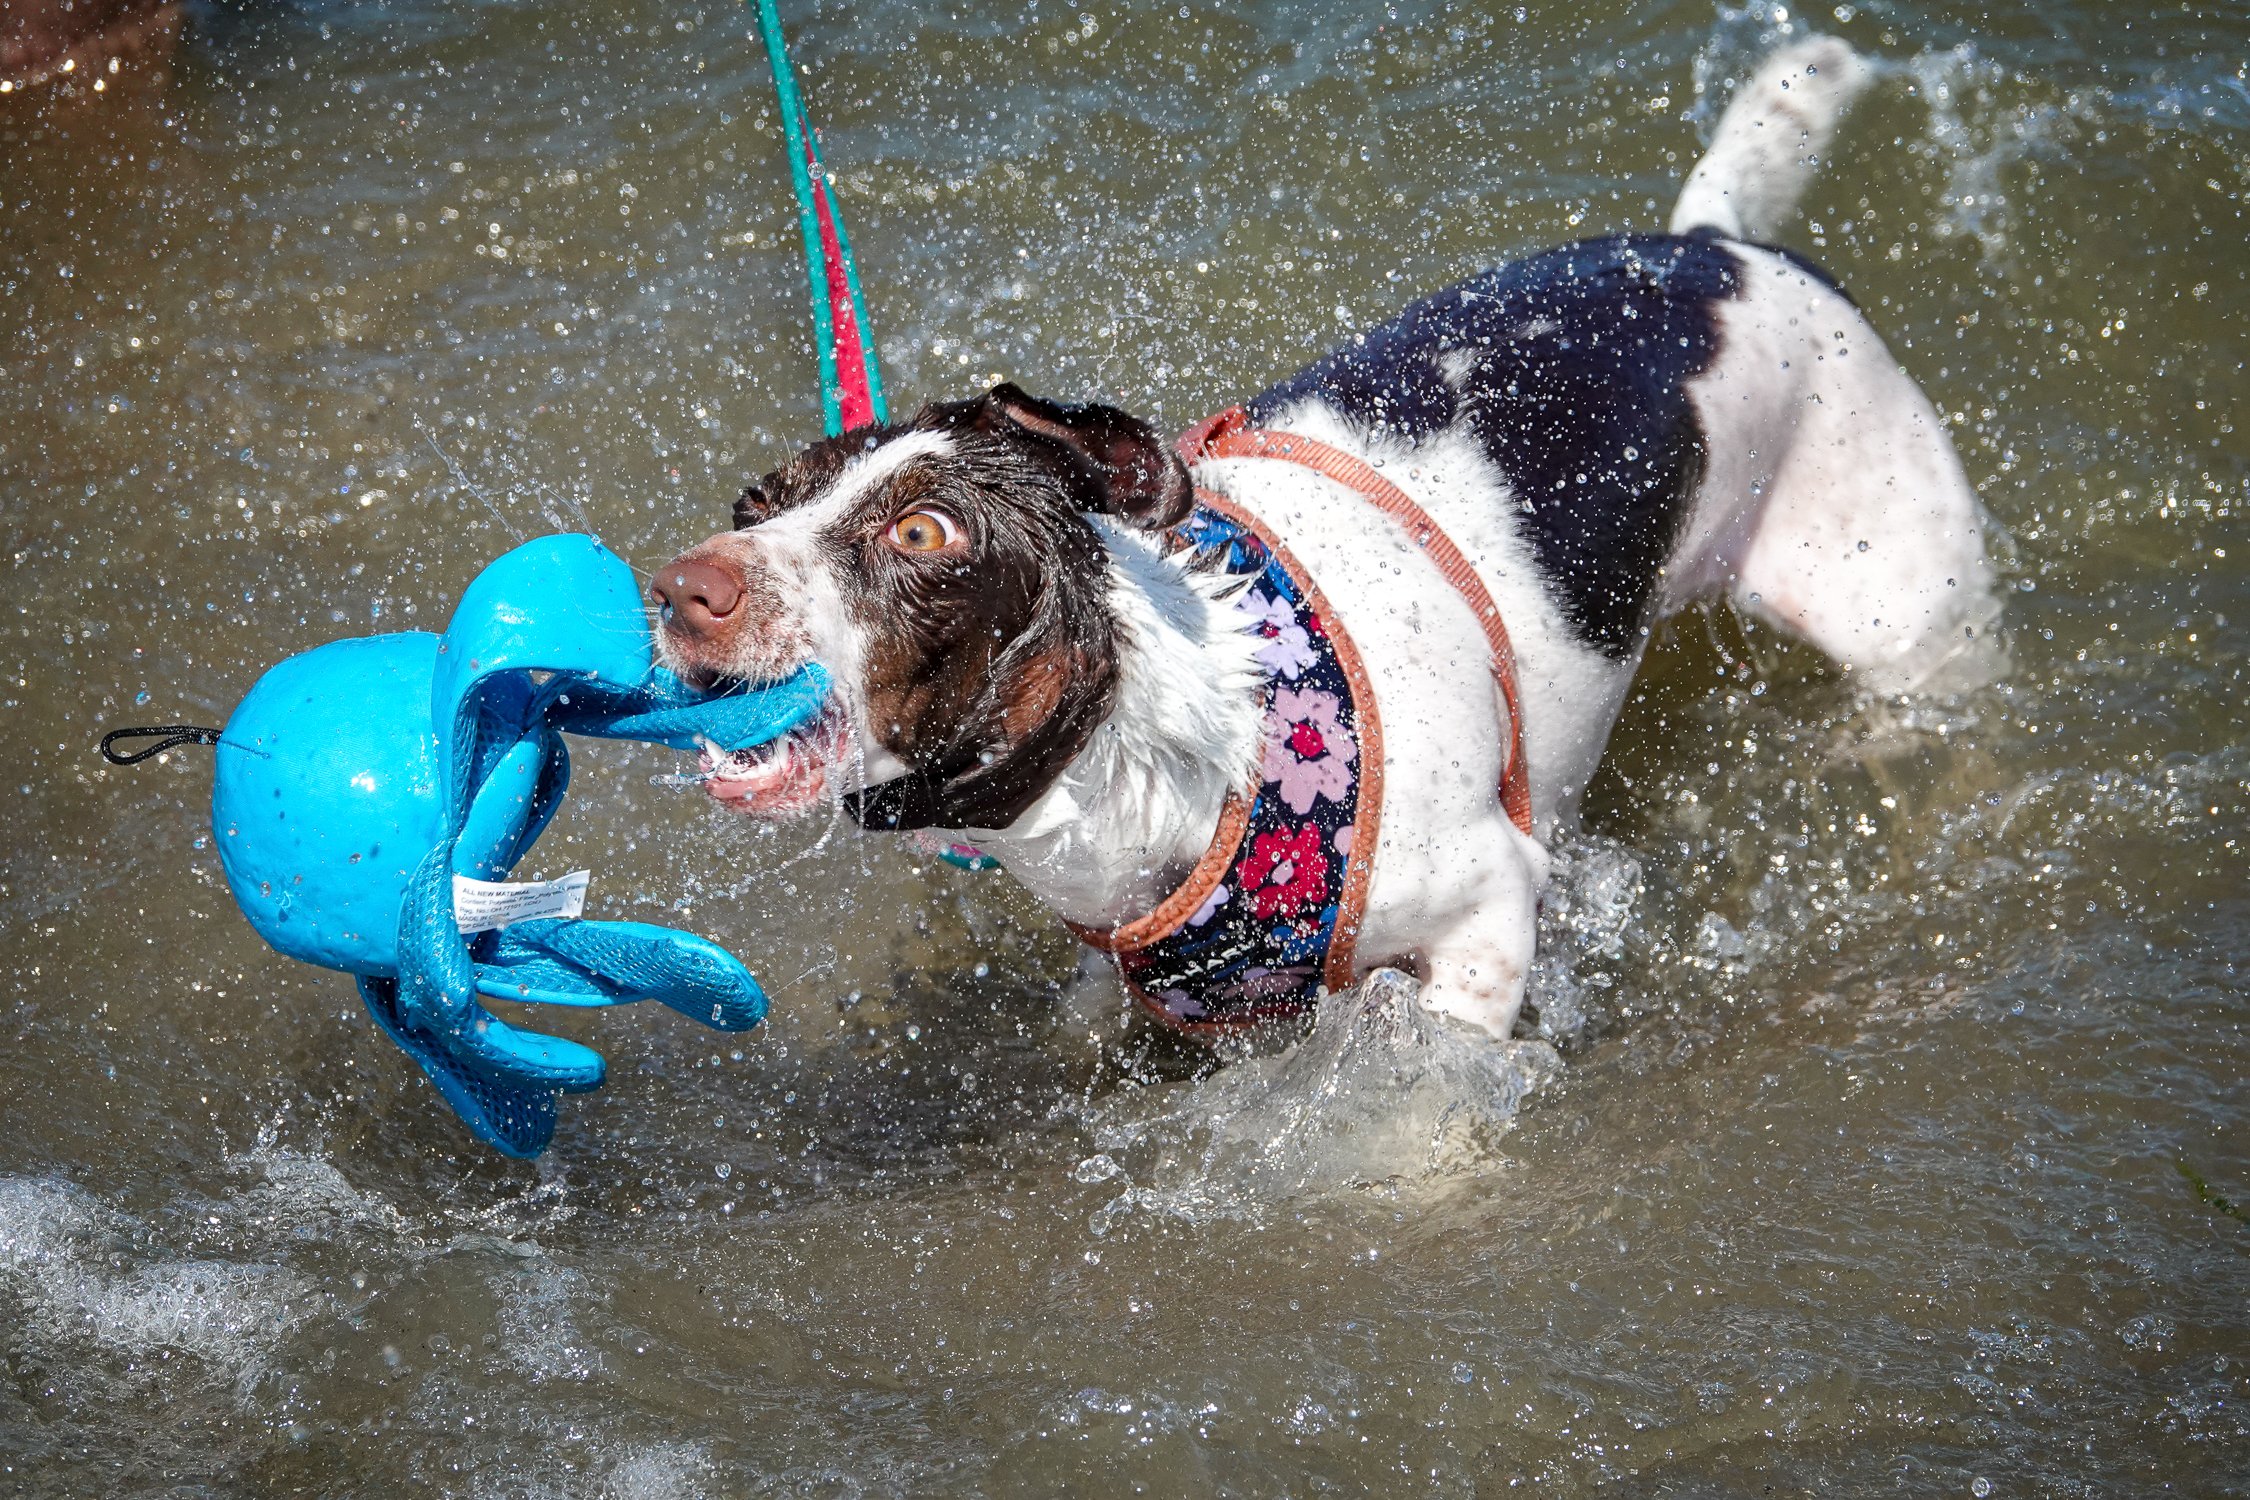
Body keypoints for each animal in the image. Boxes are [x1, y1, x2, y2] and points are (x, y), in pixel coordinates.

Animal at [652, 38, 2007, 1043]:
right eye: (756, 504)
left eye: (923, 530)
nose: (677, 589)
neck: (1208, 733)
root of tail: (1714, 249)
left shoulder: (1487, 914)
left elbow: (1432, 1096)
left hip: (1908, 615)